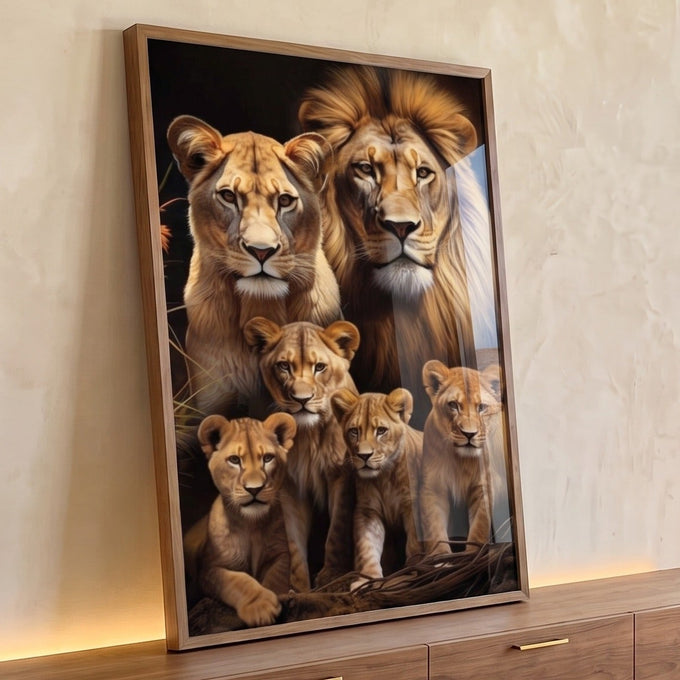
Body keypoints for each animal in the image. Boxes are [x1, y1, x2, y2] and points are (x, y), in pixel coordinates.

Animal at [182, 412, 296, 628]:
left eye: (268, 458)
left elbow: (277, 575)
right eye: (234, 460)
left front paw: (281, 596)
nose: (254, 489)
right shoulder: (209, 570)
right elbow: (238, 580)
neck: (251, 525)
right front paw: (261, 606)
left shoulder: (280, 553)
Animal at [244, 317, 359, 591]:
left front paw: (331, 576)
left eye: (319, 367)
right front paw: (297, 587)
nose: (302, 399)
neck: (308, 436)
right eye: (284, 366)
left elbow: (337, 528)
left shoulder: (342, 475)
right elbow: (293, 542)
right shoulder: (288, 485)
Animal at [331, 388, 423, 588]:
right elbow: (367, 546)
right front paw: (366, 579)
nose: (364, 456)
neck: (384, 477)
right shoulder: (367, 511)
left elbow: (414, 540)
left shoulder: (411, 505)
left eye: (381, 431)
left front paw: (412, 569)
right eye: (354, 431)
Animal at [419, 361, 505, 555]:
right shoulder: (433, 487)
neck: (461, 461)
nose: (469, 434)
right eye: (453, 405)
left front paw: (472, 553)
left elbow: (479, 526)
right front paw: (440, 555)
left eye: (481, 408)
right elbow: (434, 526)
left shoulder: (483, 485)